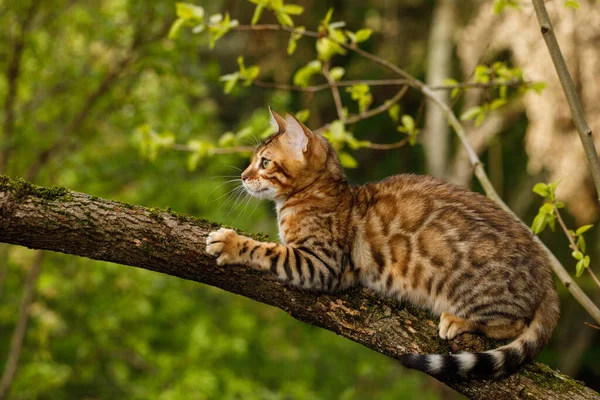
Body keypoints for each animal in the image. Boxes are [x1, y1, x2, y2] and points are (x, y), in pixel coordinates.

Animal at [205, 108, 556, 380]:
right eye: (253, 161)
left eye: (264, 162)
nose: (243, 176)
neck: (316, 193)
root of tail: (546, 272)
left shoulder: (323, 263)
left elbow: (270, 250)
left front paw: (231, 243)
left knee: (514, 323)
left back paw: (458, 320)